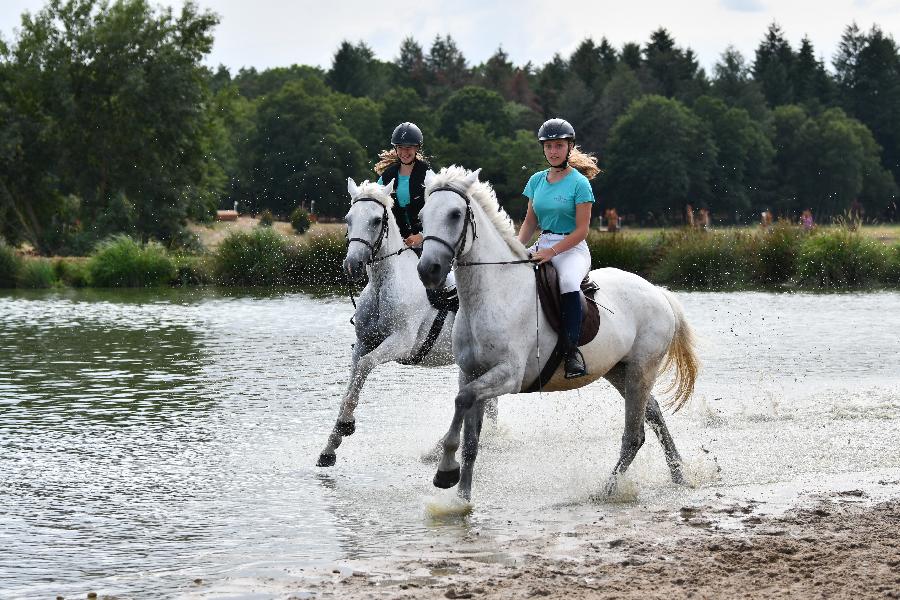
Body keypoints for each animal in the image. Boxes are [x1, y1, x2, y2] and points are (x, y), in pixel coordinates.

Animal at [318, 176, 496, 466]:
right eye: (348, 218)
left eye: (376, 220)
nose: (353, 265)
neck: (383, 285)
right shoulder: (363, 344)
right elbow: (352, 383)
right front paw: (330, 446)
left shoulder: (401, 344)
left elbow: (365, 366)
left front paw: (346, 425)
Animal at [418, 165, 700, 502]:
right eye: (422, 216)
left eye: (455, 214)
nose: (428, 270)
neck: (492, 294)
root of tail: (658, 292)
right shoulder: (471, 372)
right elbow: (470, 437)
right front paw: (461, 499)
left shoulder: (509, 375)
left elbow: (462, 401)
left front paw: (445, 471)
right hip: (619, 370)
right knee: (653, 413)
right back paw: (678, 474)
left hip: (642, 368)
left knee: (635, 434)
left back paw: (607, 491)